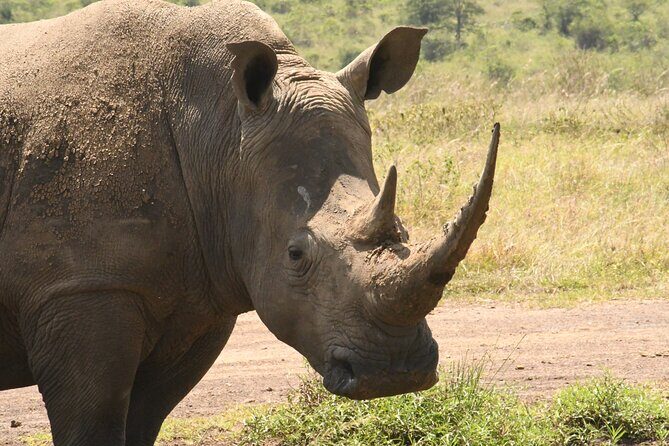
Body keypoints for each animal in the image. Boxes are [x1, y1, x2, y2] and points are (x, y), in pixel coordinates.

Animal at [0, 0, 500, 444]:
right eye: (295, 254)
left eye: (405, 235)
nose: (395, 372)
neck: (217, 130)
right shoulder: (82, 287)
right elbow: (95, 422)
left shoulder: (198, 298)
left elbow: (143, 421)